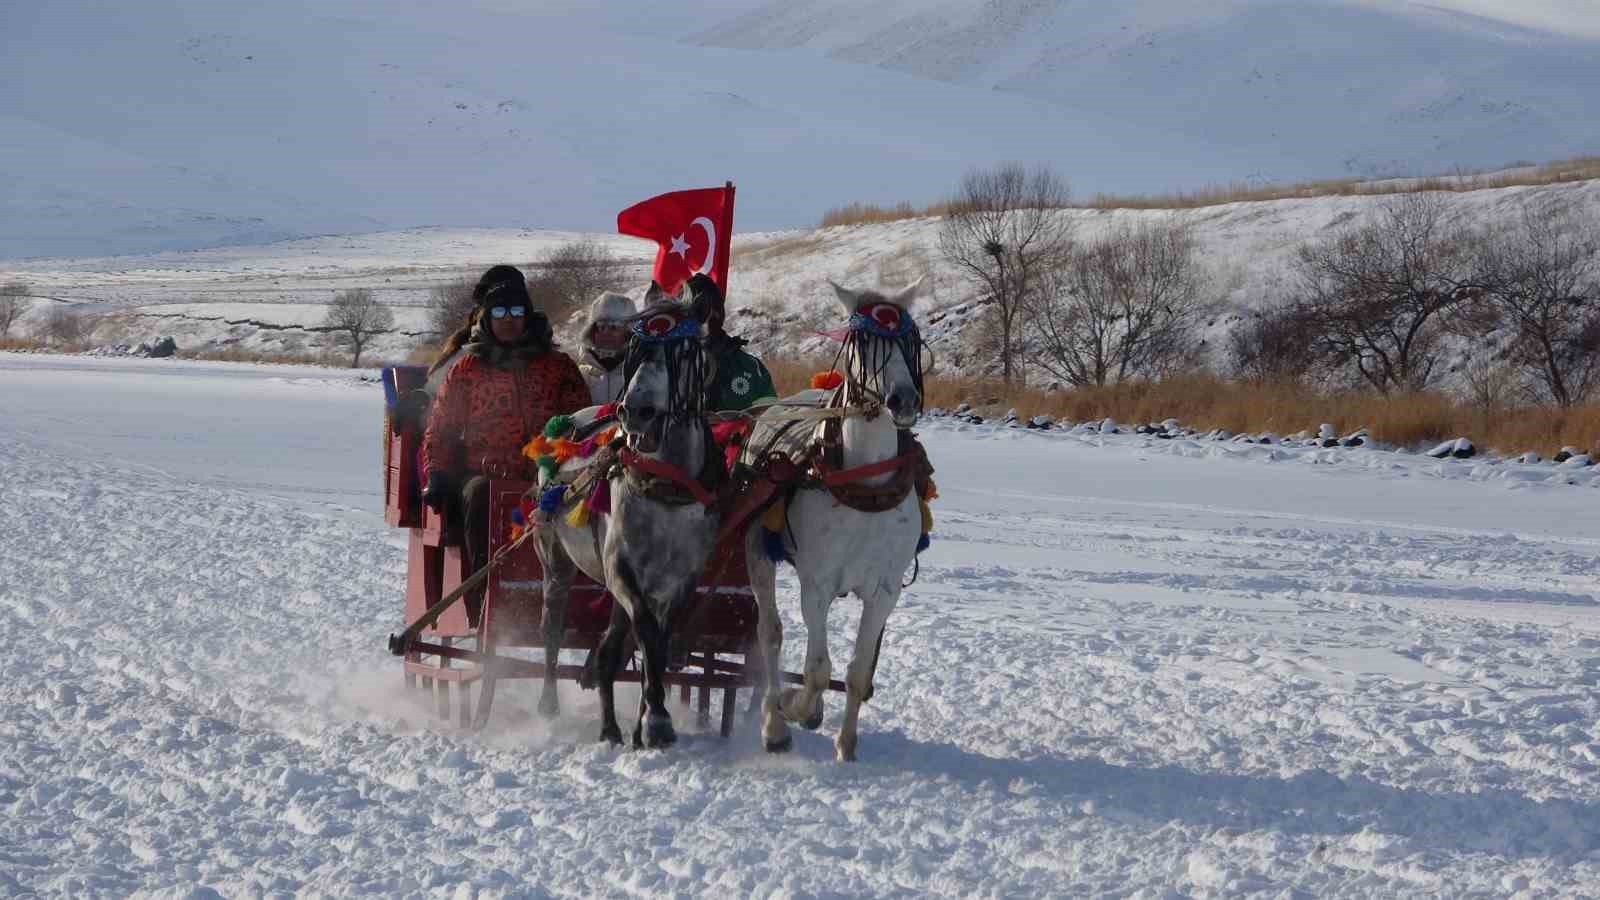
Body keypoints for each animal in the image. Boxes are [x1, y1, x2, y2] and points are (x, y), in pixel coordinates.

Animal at [742, 277, 934, 759]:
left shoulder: (884, 591)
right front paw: (796, 706)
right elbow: (815, 669)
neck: (865, 484)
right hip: (757, 551)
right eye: (862, 341)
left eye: (910, 338)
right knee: (769, 634)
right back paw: (774, 723)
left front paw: (846, 744)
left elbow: (857, 673)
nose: (903, 399)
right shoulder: (817, 584)